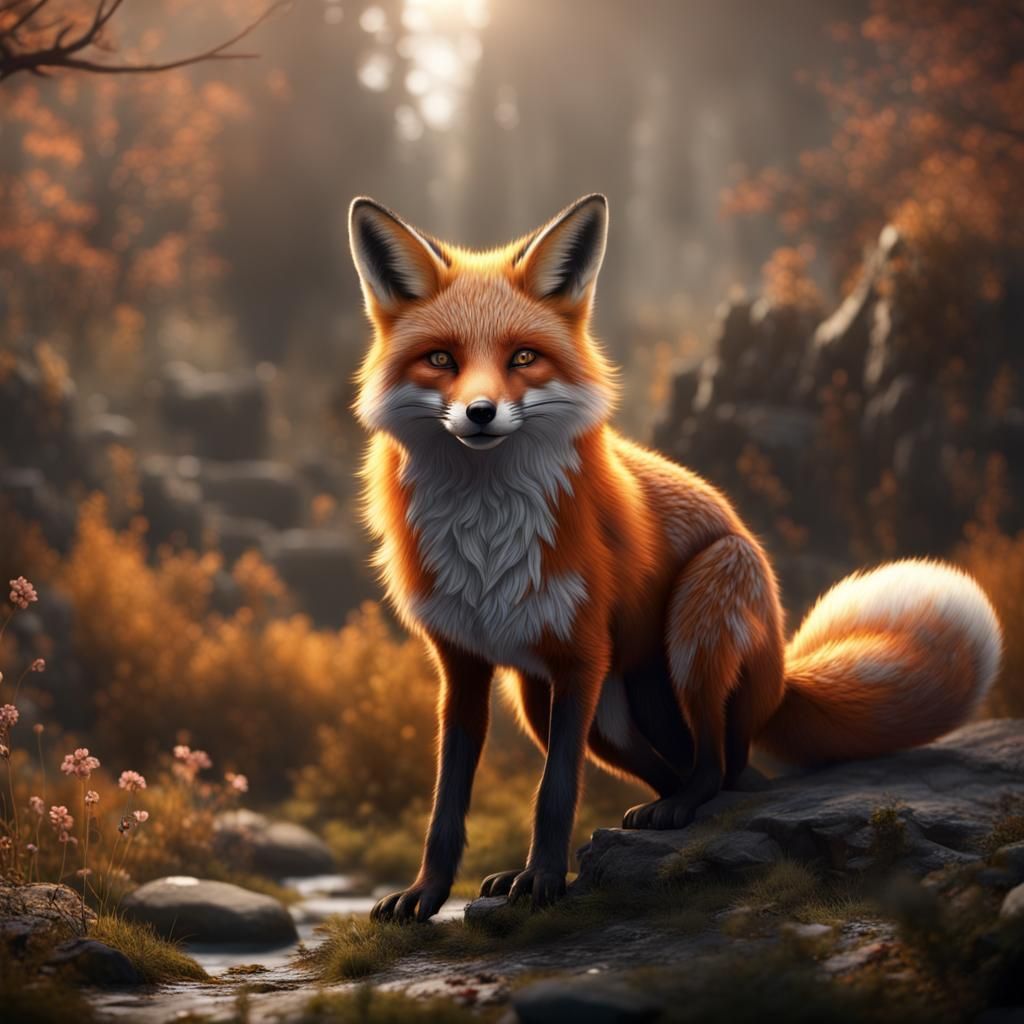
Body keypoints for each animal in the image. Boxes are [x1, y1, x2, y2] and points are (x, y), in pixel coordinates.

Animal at [348, 192, 1003, 924]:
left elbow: (554, 793)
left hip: (697, 617)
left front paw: (542, 881)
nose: (480, 413)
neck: (487, 541)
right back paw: (650, 815)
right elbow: (447, 801)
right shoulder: (463, 667)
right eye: (441, 359)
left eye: (523, 357)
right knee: (707, 771)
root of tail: (783, 671)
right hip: (552, 703)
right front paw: (428, 893)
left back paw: (680, 809)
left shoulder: (580, 657)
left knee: (717, 764)